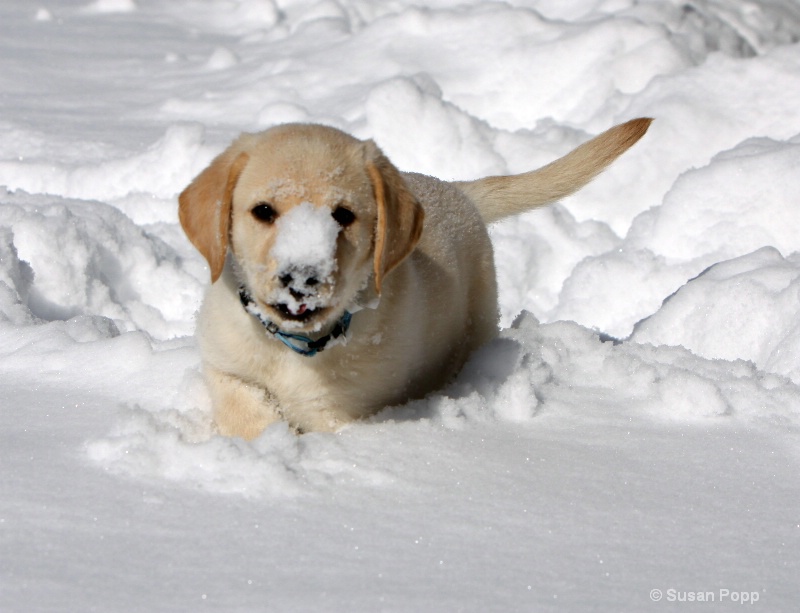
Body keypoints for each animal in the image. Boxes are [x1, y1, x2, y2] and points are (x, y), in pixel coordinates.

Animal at [177, 117, 648, 438]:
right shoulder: (225, 364)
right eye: (263, 211)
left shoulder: (345, 410)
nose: (301, 278)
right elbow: (244, 408)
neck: (297, 347)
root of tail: (457, 190)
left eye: (343, 215)